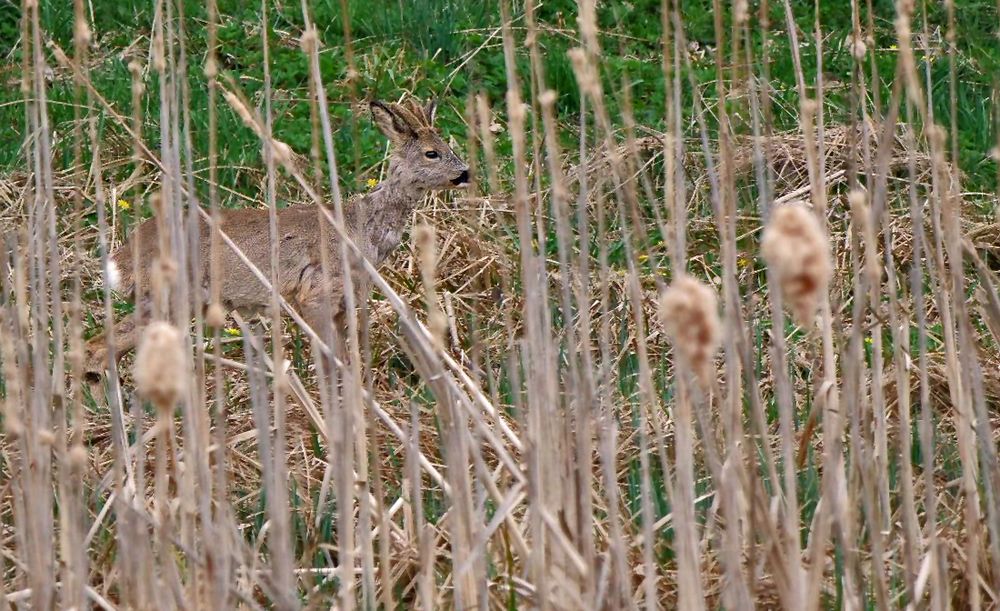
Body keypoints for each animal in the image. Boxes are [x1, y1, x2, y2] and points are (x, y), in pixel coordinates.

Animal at [83, 97, 468, 382]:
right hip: (172, 296)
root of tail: (122, 257)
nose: (465, 173)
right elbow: (332, 361)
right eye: (432, 152)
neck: (363, 229)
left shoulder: (347, 300)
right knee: (100, 347)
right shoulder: (316, 292)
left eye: (448, 146)